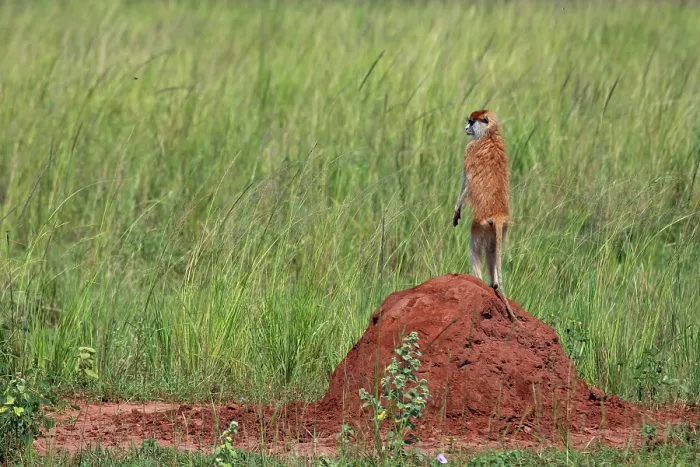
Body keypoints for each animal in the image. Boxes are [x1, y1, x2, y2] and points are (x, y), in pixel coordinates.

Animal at [453, 109, 517, 321]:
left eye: (472, 122)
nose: (466, 128)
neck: (490, 135)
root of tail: (498, 214)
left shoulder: (470, 150)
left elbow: (467, 181)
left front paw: (457, 210)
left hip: (480, 224)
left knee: (474, 244)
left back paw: (477, 279)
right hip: (499, 229)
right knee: (492, 250)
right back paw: (494, 283)